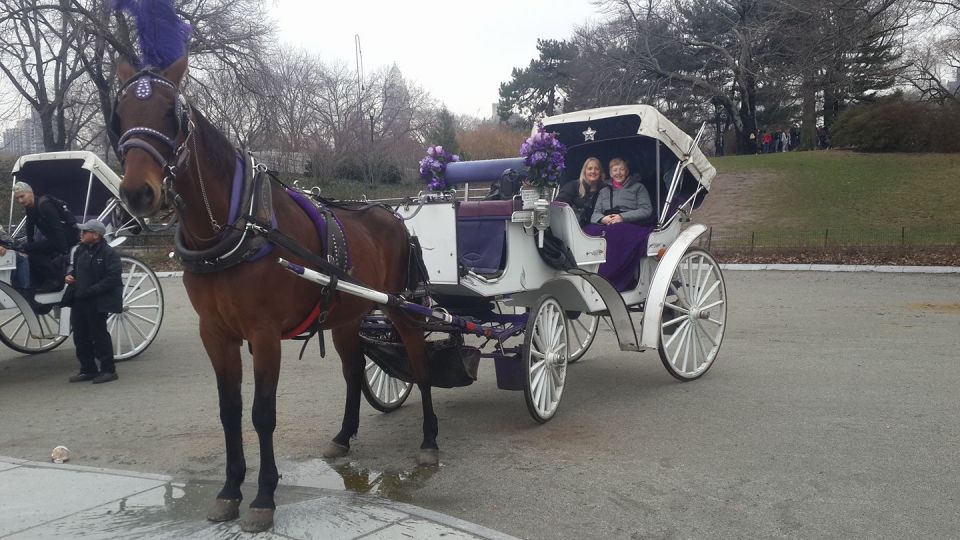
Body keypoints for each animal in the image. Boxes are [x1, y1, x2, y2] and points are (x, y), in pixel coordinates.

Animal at [114, 56, 436, 532]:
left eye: (174, 115)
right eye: (119, 114)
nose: (137, 192)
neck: (235, 227)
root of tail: (390, 214)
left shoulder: (264, 335)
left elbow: (262, 414)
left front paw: (264, 496)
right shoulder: (215, 334)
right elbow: (229, 411)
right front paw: (230, 490)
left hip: (400, 308)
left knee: (418, 362)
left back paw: (430, 439)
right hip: (346, 315)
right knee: (354, 371)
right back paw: (344, 436)